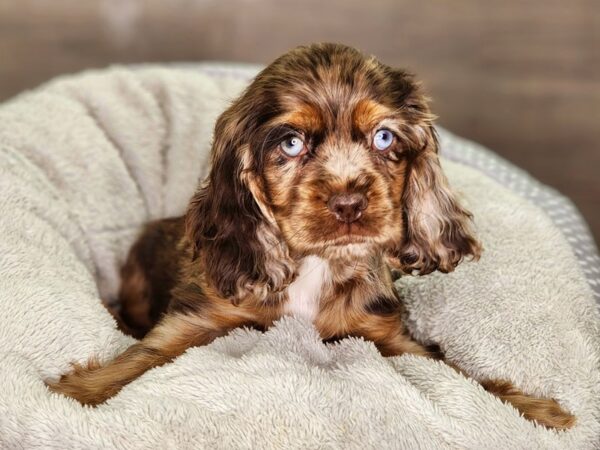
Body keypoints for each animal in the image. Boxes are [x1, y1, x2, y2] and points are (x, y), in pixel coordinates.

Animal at [49, 44, 576, 430]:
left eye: (384, 138)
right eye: (291, 143)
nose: (349, 204)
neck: (316, 265)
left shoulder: (388, 336)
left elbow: (458, 374)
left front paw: (536, 411)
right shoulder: (196, 318)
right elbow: (145, 355)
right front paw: (76, 394)